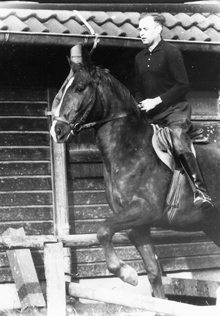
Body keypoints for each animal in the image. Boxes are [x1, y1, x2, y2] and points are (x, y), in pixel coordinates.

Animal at [49, 48, 220, 298]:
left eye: (80, 87)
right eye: (63, 89)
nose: (57, 131)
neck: (129, 149)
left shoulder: (144, 209)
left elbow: (103, 229)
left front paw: (126, 273)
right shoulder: (139, 225)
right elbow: (153, 273)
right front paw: (130, 274)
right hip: (212, 226)